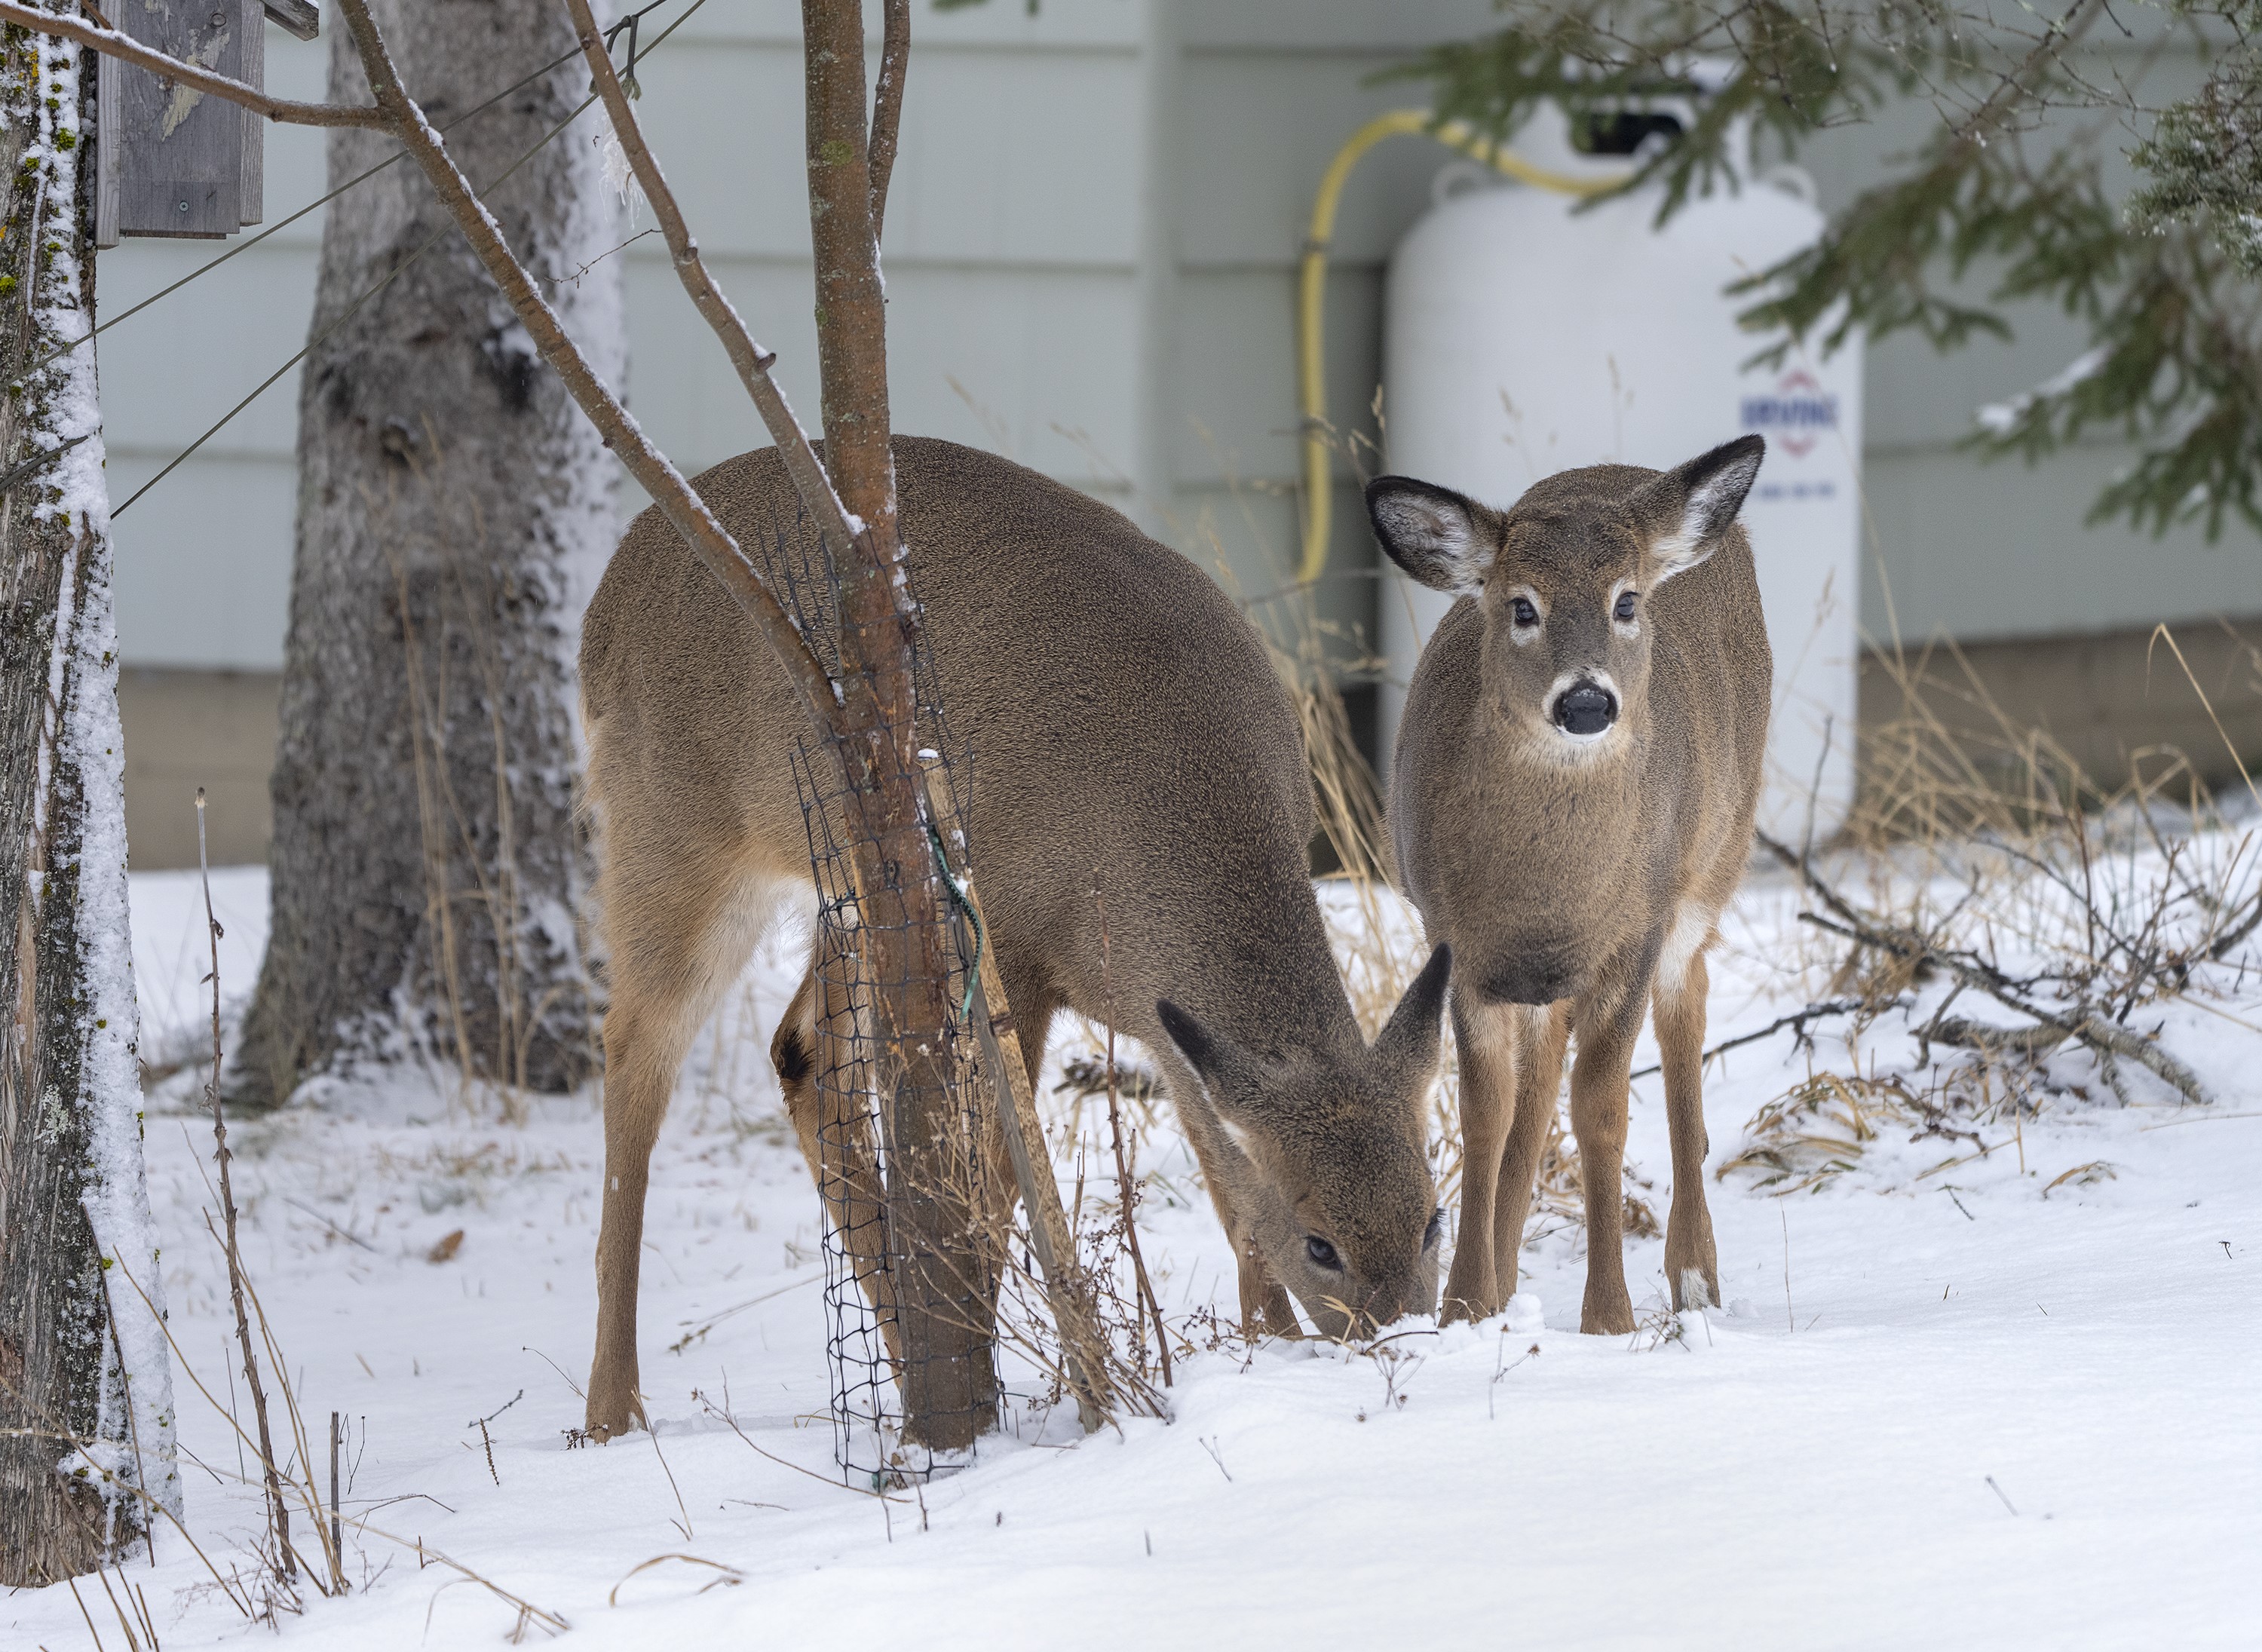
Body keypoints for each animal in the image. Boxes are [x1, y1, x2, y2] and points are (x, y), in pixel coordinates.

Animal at [570, 434, 1448, 1430]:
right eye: (1321, 1242)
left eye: (1432, 1216)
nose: (1403, 1341)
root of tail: (604, 607)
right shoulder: (1006, 950)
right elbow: (993, 1199)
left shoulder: (1165, 1024)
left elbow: (1224, 1181)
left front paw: (1265, 1347)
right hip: (673, 830)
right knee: (636, 1057)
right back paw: (613, 1411)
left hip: (853, 884)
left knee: (802, 1052)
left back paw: (909, 1367)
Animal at [1366, 434, 1773, 1321]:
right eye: (1522, 606)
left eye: (1625, 602)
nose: (1587, 702)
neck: (1547, 894)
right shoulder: (1459, 943)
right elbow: (1485, 1112)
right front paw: (1466, 1305)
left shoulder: (1633, 933)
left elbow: (1602, 1109)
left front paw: (1609, 1317)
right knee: (1541, 1073)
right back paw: (1508, 1274)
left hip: (1710, 866)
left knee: (1686, 1012)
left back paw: (1695, 1274)